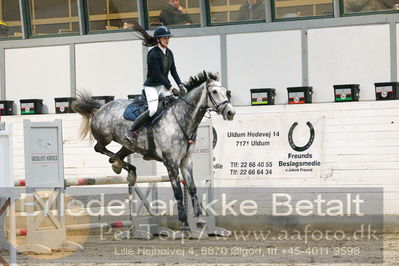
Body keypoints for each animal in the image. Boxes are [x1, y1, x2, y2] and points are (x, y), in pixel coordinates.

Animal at [73, 71, 236, 231]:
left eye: (226, 92)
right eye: (214, 92)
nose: (231, 112)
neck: (182, 119)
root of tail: (101, 107)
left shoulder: (186, 161)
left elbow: (192, 188)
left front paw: (200, 219)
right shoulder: (171, 162)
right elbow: (178, 192)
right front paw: (184, 224)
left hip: (128, 146)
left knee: (115, 156)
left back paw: (123, 168)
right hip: (105, 137)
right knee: (99, 148)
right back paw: (124, 167)